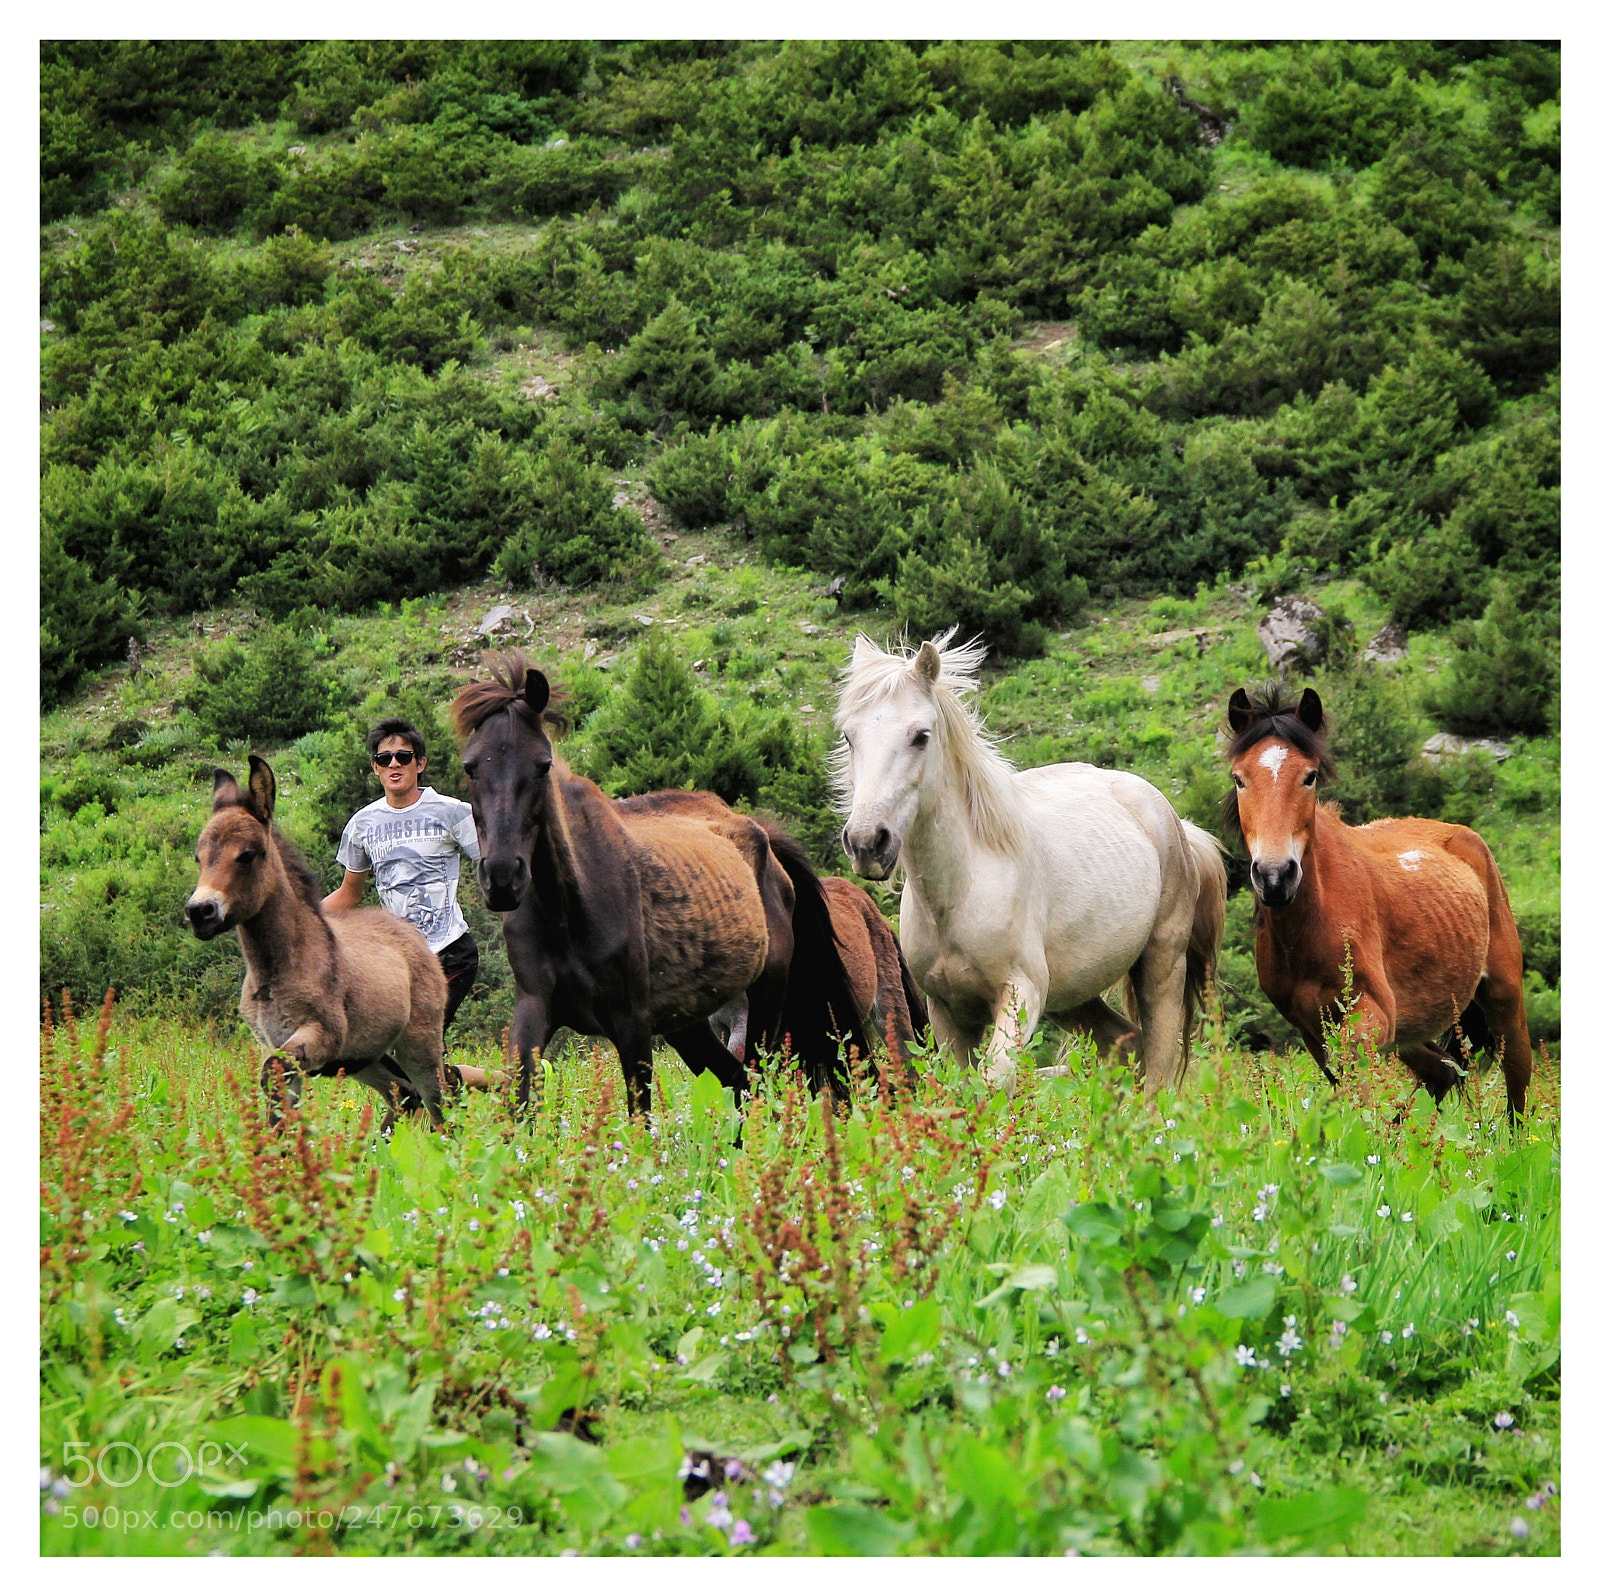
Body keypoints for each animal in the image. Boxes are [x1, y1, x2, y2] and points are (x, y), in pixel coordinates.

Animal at [185, 756, 451, 1127]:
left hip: (418, 1044)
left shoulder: (322, 1035)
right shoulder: (272, 1042)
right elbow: (278, 1109)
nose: (200, 912)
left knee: (440, 1103)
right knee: (403, 1094)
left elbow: (272, 1075)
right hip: (363, 1059)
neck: (276, 969)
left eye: (249, 855)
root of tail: (418, 941)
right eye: (199, 857)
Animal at [449, 651, 866, 1115]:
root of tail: (764, 843)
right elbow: (520, 1112)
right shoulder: (533, 1012)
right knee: (737, 1083)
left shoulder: (632, 1026)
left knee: (756, 1088)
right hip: (689, 1024)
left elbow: (640, 1119)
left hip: (764, 1007)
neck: (568, 908)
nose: (502, 876)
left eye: (542, 766)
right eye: (470, 767)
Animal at [835, 631, 1227, 1101]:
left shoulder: (1020, 994)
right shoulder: (947, 1012)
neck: (963, 891)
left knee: (1159, 1069)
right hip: (1073, 995)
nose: (866, 842)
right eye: (849, 737)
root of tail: (1177, 824)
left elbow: (992, 1084)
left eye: (920, 736)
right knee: (1126, 1044)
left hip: (1162, 965)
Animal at [1223, 683, 1532, 1119]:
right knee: (1442, 1072)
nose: (1275, 876)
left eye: (1309, 776)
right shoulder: (1313, 1030)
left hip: (1505, 1000)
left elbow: (1358, 1085)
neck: (1311, 925)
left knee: (1517, 1092)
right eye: (1239, 779)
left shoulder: (1373, 1014)